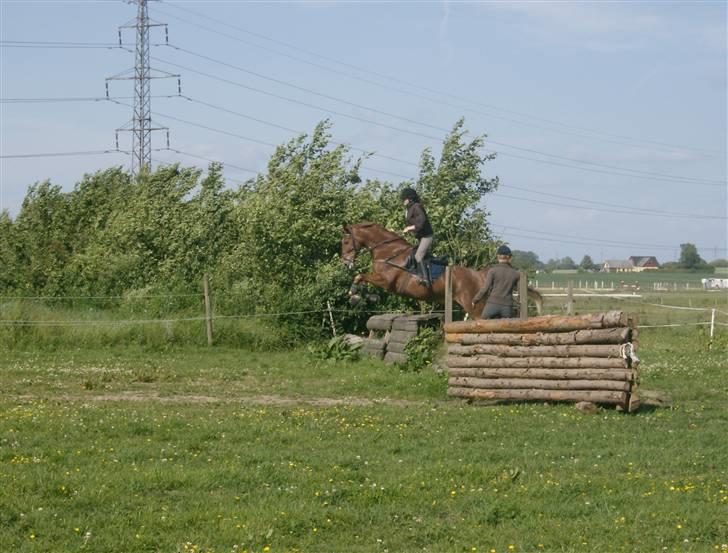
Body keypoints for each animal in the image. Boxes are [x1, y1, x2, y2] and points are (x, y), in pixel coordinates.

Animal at [342, 221, 540, 320]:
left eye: (345, 241)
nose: (345, 263)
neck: (389, 251)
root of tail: (480, 274)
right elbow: (361, 278)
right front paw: (360, 297)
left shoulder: (386, 281)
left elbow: (360, 276)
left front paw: (353, 294)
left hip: (474, 306)